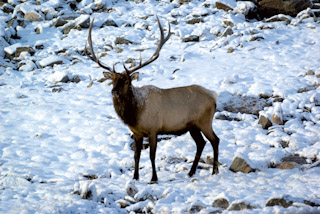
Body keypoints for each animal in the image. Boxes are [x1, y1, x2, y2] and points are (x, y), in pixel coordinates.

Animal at [85, 16, 220, 182]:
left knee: (215, 140)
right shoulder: (136, 133)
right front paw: (135, 177)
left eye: (127, 81)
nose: (114, 91)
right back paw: (191, 172)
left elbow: (151, 155)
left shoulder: (153, 129)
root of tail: (213, 96)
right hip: (192, 126)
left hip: (204, 121)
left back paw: (214, 171)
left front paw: (154, 178)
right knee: (201, 143)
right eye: (113, 80)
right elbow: (136, 156)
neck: (135, 114)